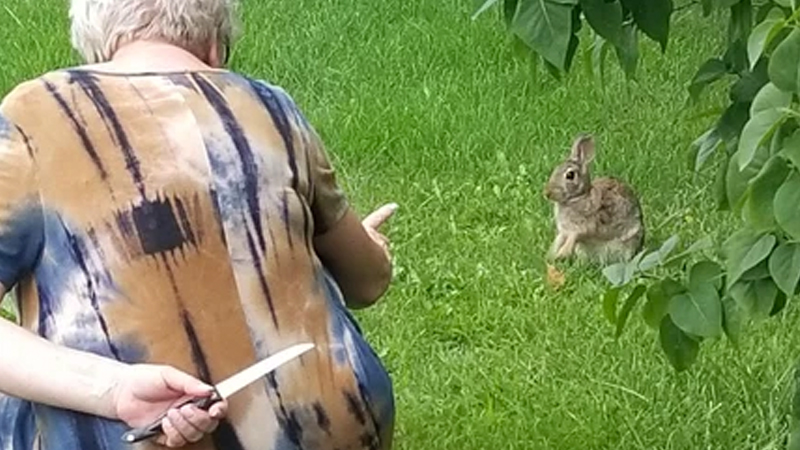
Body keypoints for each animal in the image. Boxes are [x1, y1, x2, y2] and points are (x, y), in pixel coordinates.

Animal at [540, 135, 648, 266]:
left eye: (570, 175)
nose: (547, 193)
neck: (579, 197)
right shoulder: (564, 231)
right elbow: (559, 240)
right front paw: (550, 256)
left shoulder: (582, 227)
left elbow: (573, 237)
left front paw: (561, 254)